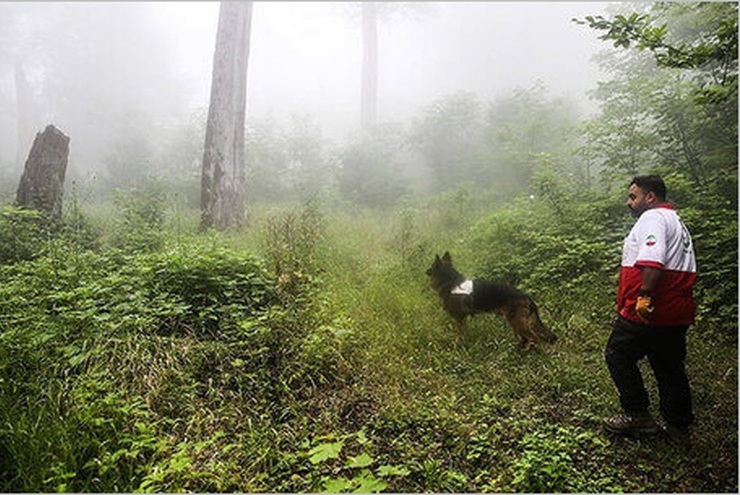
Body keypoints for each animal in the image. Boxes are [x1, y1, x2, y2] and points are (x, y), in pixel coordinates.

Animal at [428, 252, 556, 348]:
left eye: (431, 267)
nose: (426, 271)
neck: (450, 281)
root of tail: (526, 295)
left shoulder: (459, 318)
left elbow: (459, 333)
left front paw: (458, 344)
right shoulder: (463, 318)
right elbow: (464, 331)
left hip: (516, 321)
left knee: (533, 337)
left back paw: (526, 350)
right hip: (514, 320)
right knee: (527, 337)